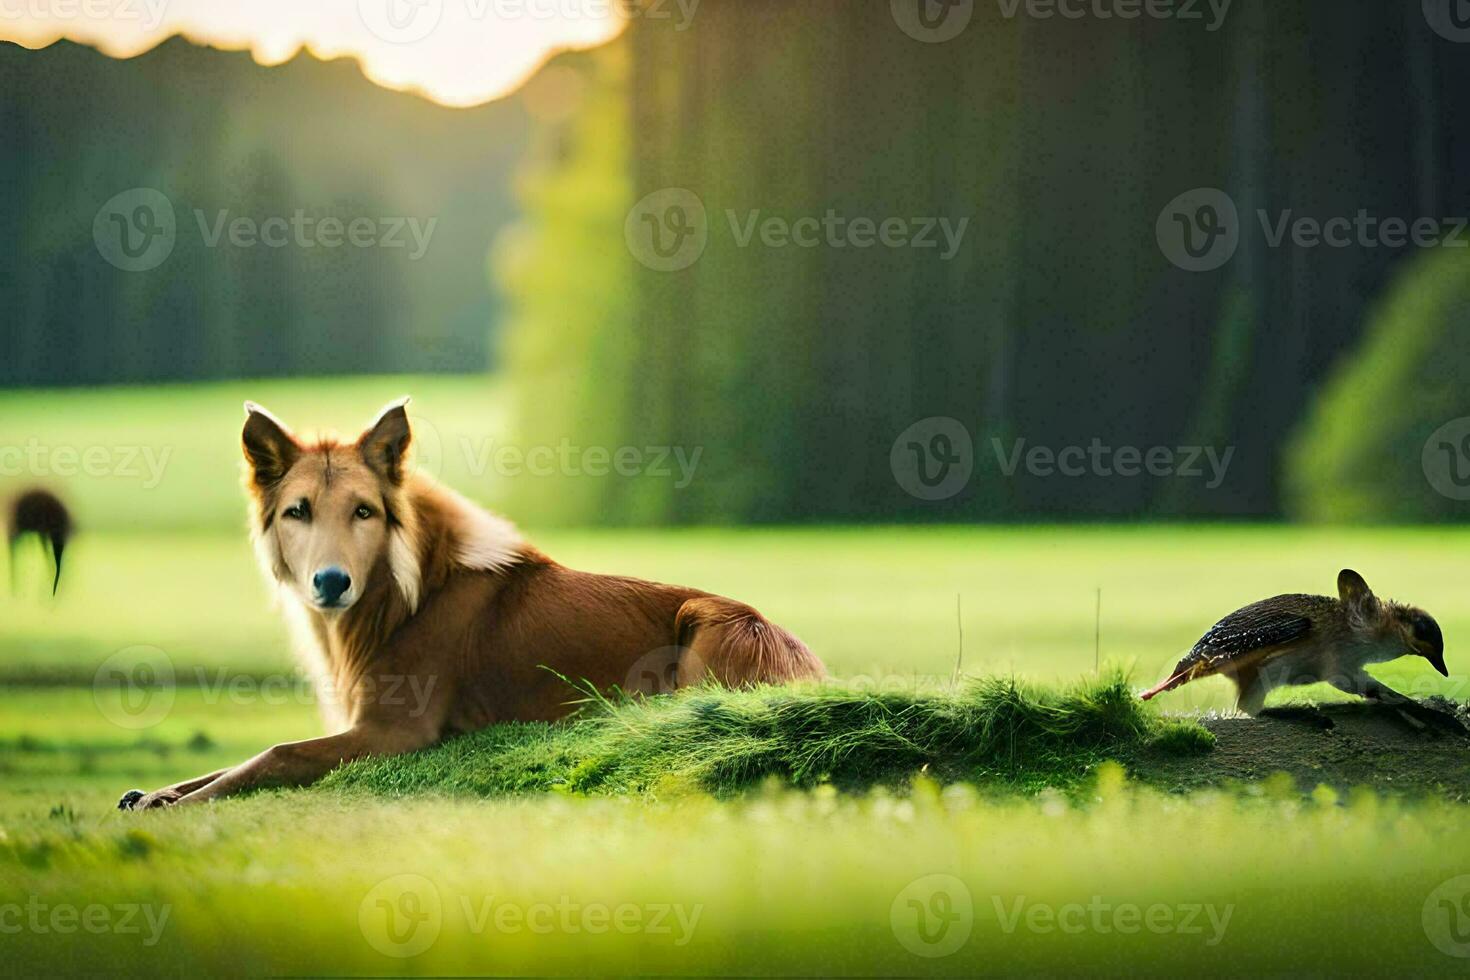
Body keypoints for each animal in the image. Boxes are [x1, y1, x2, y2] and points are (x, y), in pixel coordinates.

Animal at [119, 399, 823, 811]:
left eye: (364, 511)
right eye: (298, 511)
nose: (330, 583)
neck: (400, 600)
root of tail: (816, 671)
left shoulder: (397, 732)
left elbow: (278, 752)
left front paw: (176, 803)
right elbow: (238, 759)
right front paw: (155, 792)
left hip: (712, 633)